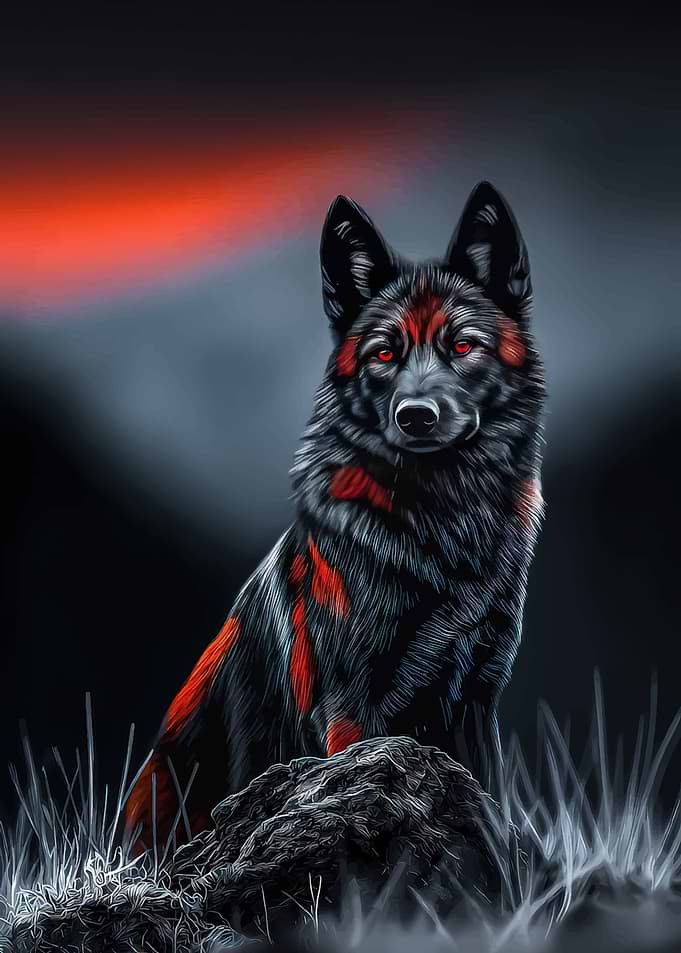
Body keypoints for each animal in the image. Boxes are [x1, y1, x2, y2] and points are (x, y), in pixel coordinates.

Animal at [126, 182, 545, 850]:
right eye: (384, 353)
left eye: (462, 346)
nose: (416, 416)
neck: (441, 529)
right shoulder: (353, 709)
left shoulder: (478, 700)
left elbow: (492, 803)